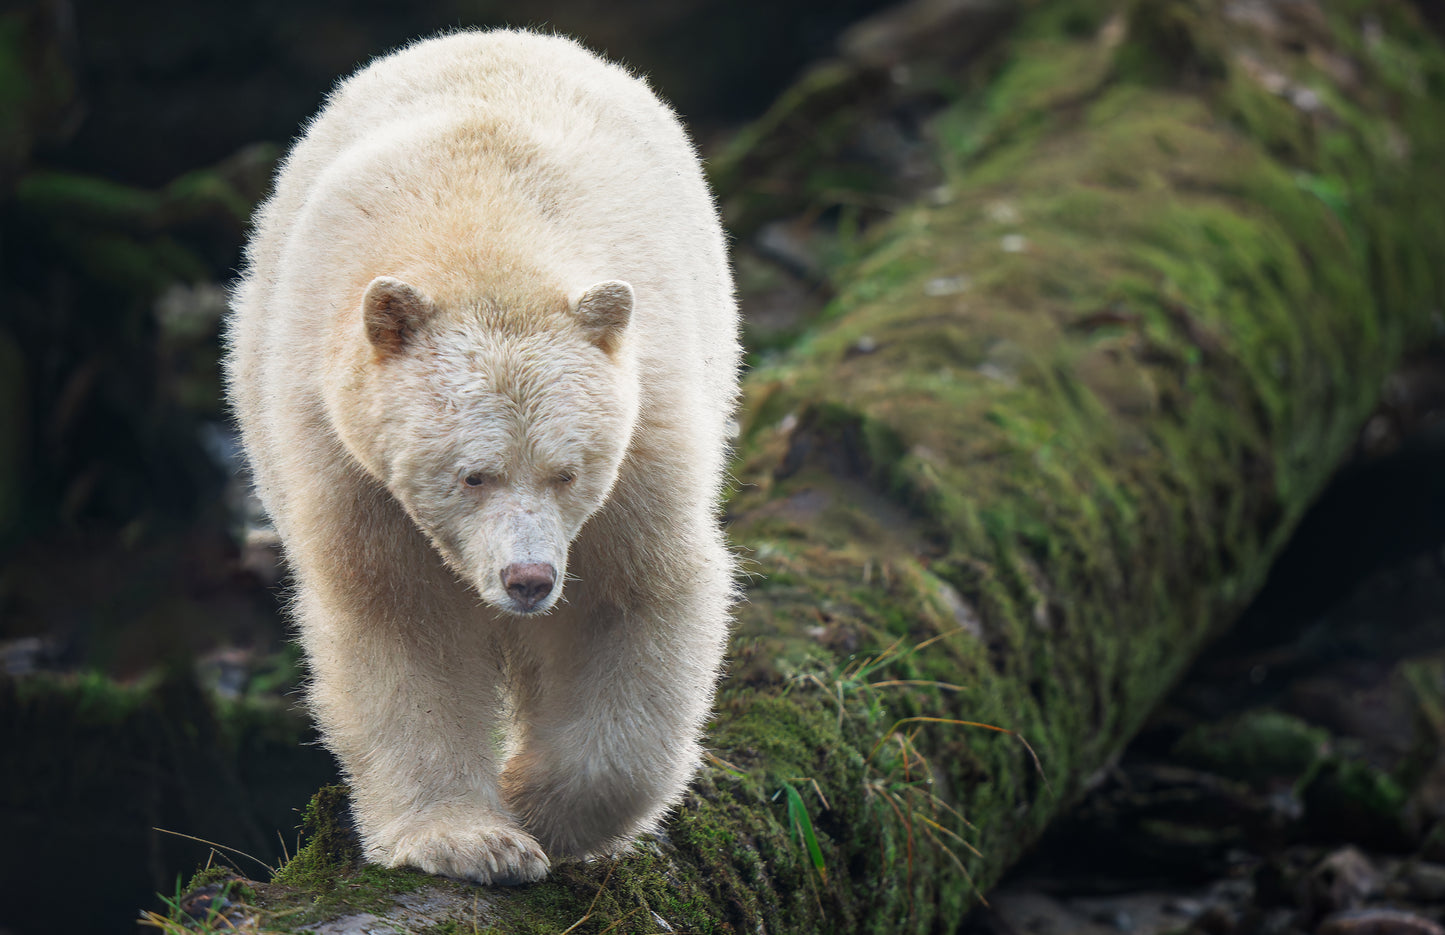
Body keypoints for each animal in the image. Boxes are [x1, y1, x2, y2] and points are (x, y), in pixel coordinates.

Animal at [224, 29, 739, 884]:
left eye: (567, 472)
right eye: (472, 474)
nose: (528, 579)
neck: (482, 231)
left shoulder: (644, 432)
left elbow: (635, 590)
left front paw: (536, 805)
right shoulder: (344, 451)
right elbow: (396, 612)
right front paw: (472, 839)